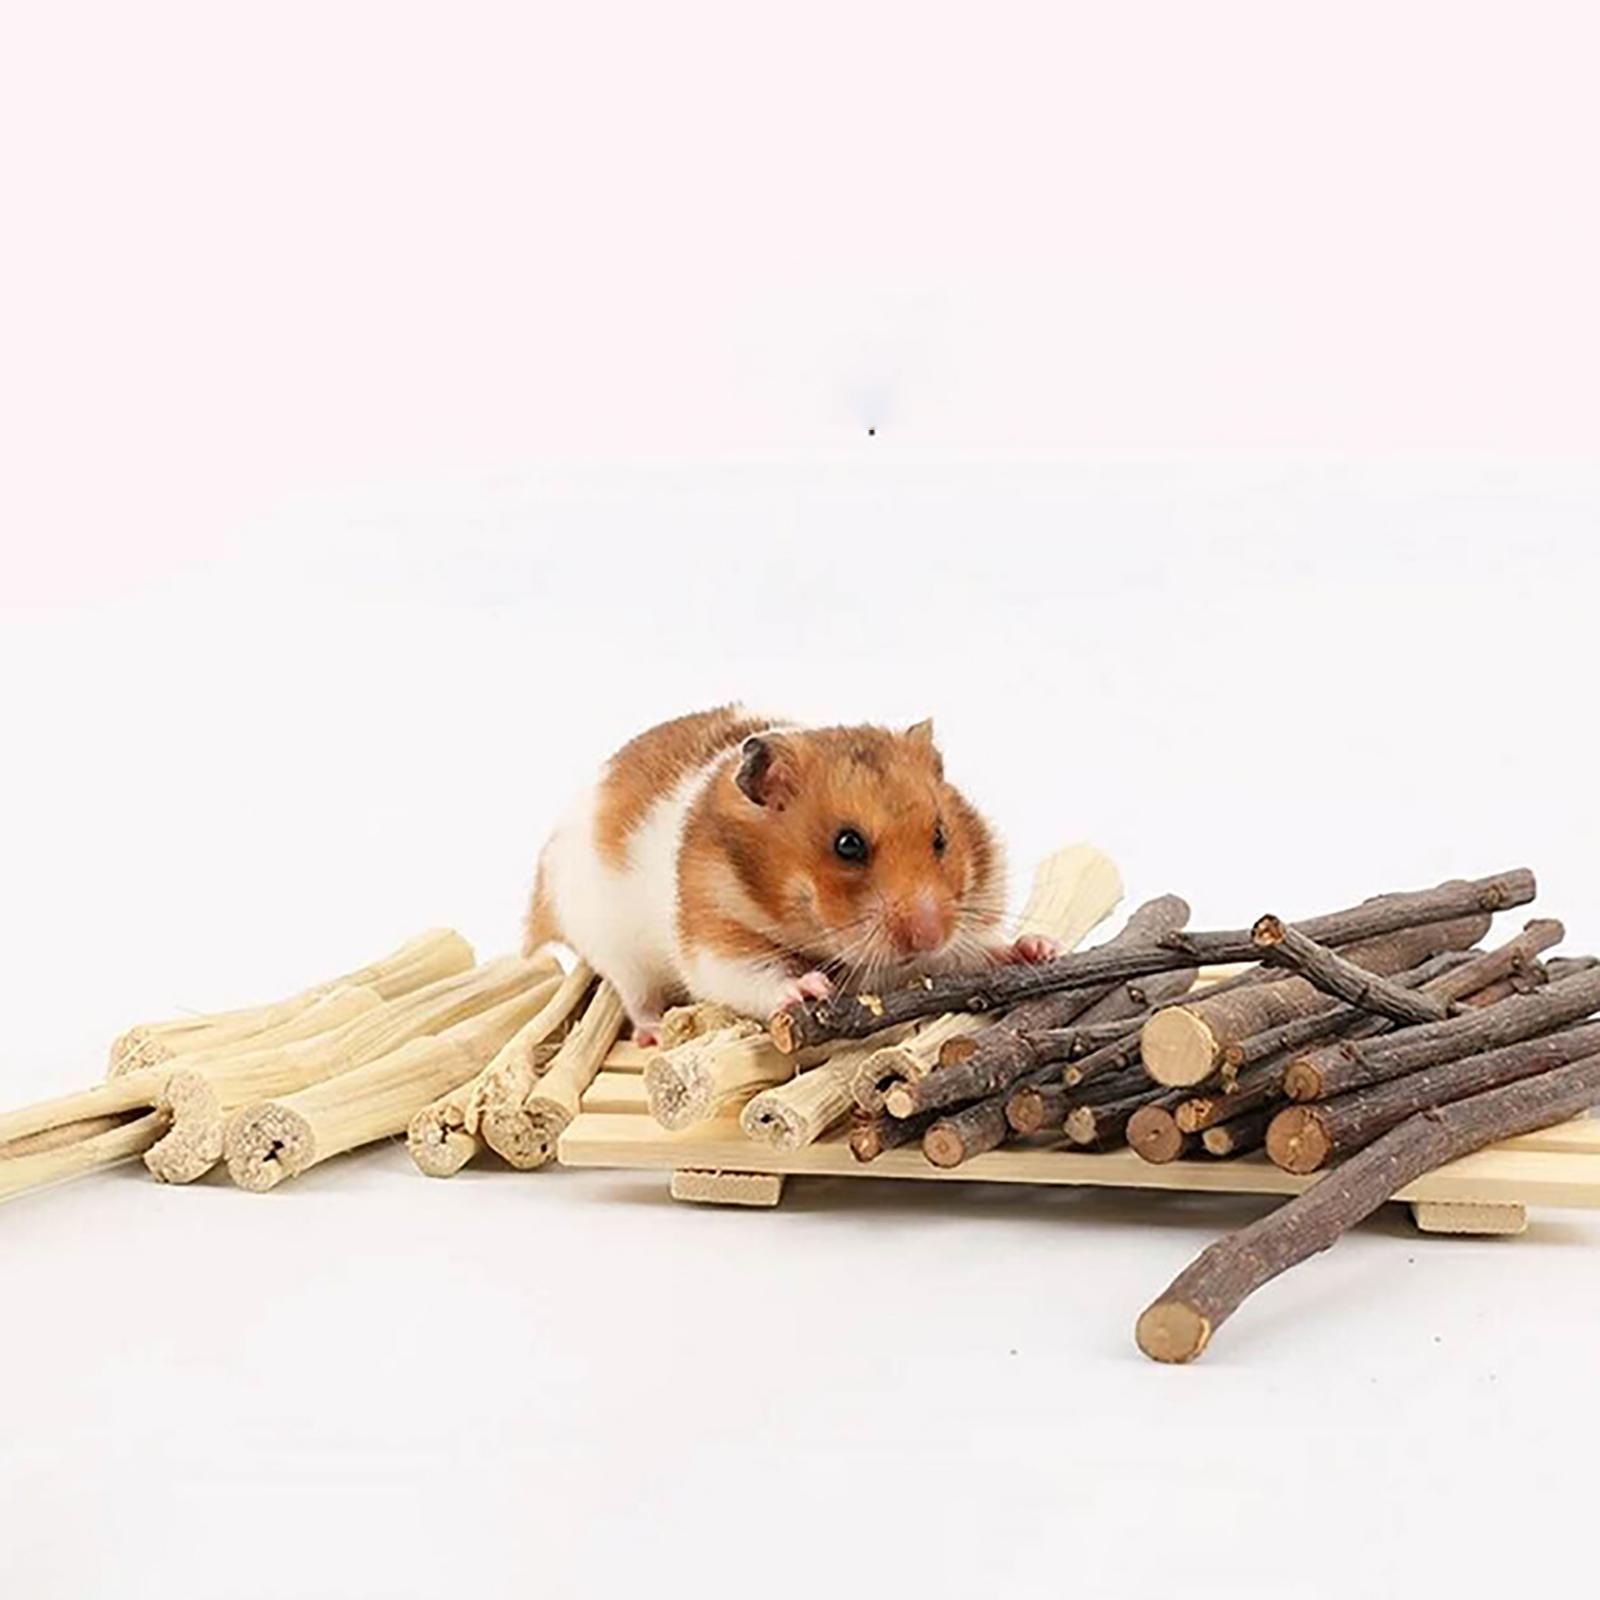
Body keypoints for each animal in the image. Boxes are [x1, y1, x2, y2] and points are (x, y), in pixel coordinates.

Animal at [525, 705, 1055, 1044]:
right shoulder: (713, 936)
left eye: (941, 836)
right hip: (618, 952)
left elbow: (968, 954)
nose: (927, 936)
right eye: (847, 845)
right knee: (637, 999)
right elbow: (752, 976)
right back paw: (654, 1035)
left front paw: (1036, 948)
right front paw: (810, 988)